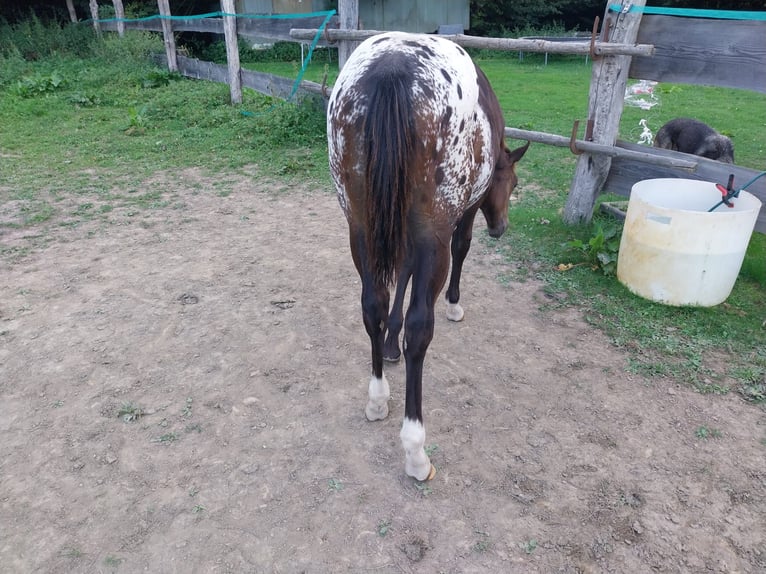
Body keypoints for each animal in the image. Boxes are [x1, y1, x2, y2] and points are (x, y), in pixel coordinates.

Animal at [328, 30, 532, 482]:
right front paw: (455, 305)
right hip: (429, 233)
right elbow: (462, 248)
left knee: (372, 306)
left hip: (360, 225)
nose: (501, 228)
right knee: (421, 329)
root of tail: (391, 71)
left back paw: (377, 397)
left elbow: (399, 277)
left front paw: (389, 343)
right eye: (511, 183)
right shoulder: (458, 218)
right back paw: (415, 450)